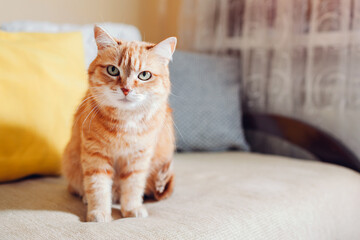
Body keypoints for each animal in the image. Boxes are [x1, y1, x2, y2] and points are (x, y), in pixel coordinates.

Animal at [62, 25, 177, 222]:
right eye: (113, 70)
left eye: (144, 75)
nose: (126, 89)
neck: (125, 122)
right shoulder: (96, 156)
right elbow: (98, 188)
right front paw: (99, 212)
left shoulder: (138, 158)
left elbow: (133, 187)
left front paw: (132, 209)